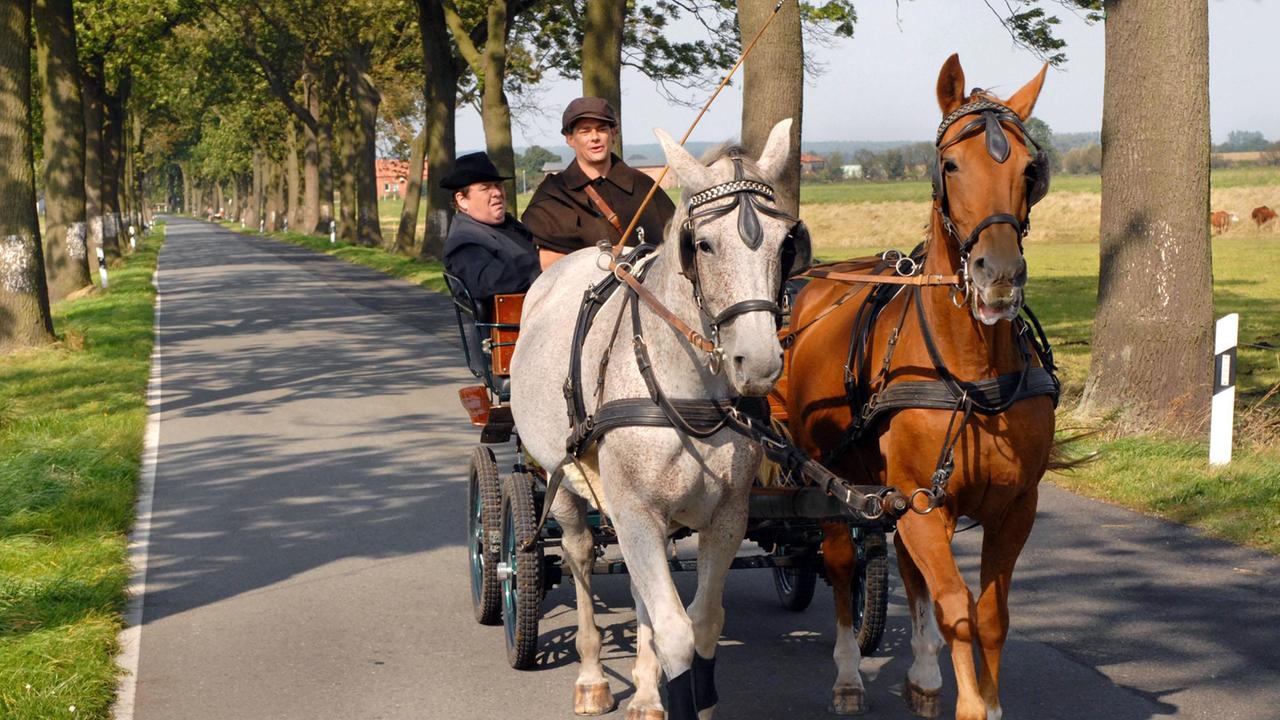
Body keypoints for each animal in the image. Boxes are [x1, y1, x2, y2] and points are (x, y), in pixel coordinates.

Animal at [512, 120, 798, 712]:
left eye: (787, 244)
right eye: (703, 244)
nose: (758, 363)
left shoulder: (726, 516)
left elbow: (702, 623)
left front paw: (671, 691)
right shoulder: (634, 506)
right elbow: (674, 630)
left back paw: (644, 689)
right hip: (565, 480)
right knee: (578, 555)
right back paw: (593, 674)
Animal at [788, 53, 1059, 712]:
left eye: (1030, 169)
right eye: (950, 165)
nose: (999, 276)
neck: (972, 375)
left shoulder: (1014, 505)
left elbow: (990, 615)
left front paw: (980, 695)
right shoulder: (919, 503)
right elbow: (956, 606)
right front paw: (972, 704)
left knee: (908, 572)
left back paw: (924, 676)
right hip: (827, 474)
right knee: (840, 562)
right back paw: (847, 675)